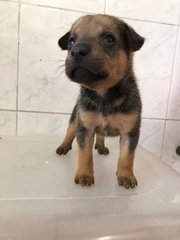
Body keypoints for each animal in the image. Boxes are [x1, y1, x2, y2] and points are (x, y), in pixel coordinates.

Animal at [57, 14, 144, 188]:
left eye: (109, 39)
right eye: (71, 41)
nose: (76, 51)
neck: (103, 94)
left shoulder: (130, 133)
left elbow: (127, 157)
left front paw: (126, 176)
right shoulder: (84, 128)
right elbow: (84, 153)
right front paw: (84, 174)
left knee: (101, 134)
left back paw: (101, 145)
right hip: (75, 117)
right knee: (70, 131)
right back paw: (64, 146)